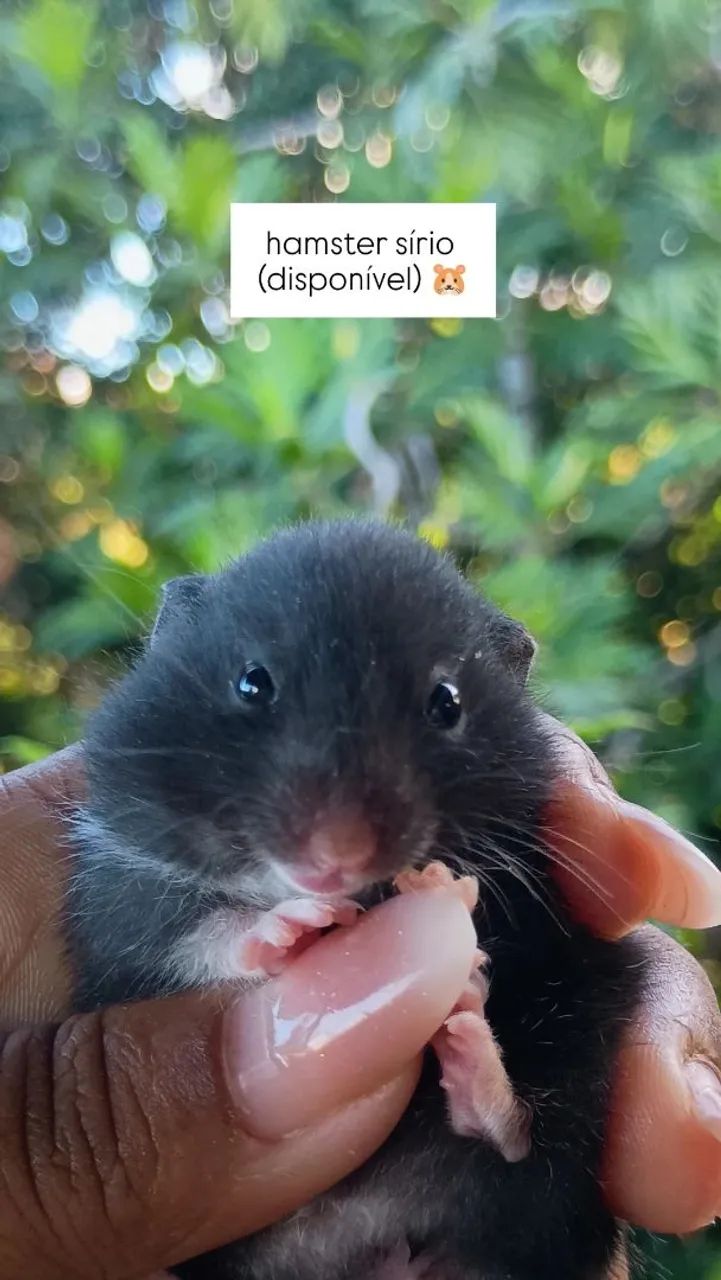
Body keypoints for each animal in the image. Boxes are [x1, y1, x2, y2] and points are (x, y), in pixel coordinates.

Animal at [68, 518, 643, 1280]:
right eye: (252, 682)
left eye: (447, 703)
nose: (335, 856)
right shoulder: (118, 886)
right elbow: (195, 929)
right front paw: (299, 927)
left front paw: (458, 941)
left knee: (518, 1143)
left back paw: (467, 1034)